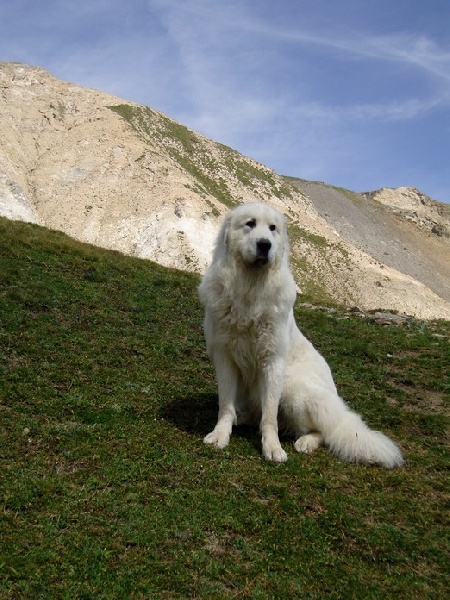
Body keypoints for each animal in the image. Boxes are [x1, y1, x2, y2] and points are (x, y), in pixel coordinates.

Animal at [199, 203, 402, 468]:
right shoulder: (225, 357)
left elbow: (270, 417)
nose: (265, 245)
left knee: (324, 431)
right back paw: (240, 418)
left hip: (292, 386)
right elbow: (225, 405)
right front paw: (221, 434)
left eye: (272, 228)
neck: (250, 290)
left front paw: (272, 448)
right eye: (250, 224)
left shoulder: (273, 361)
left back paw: (306, 442)